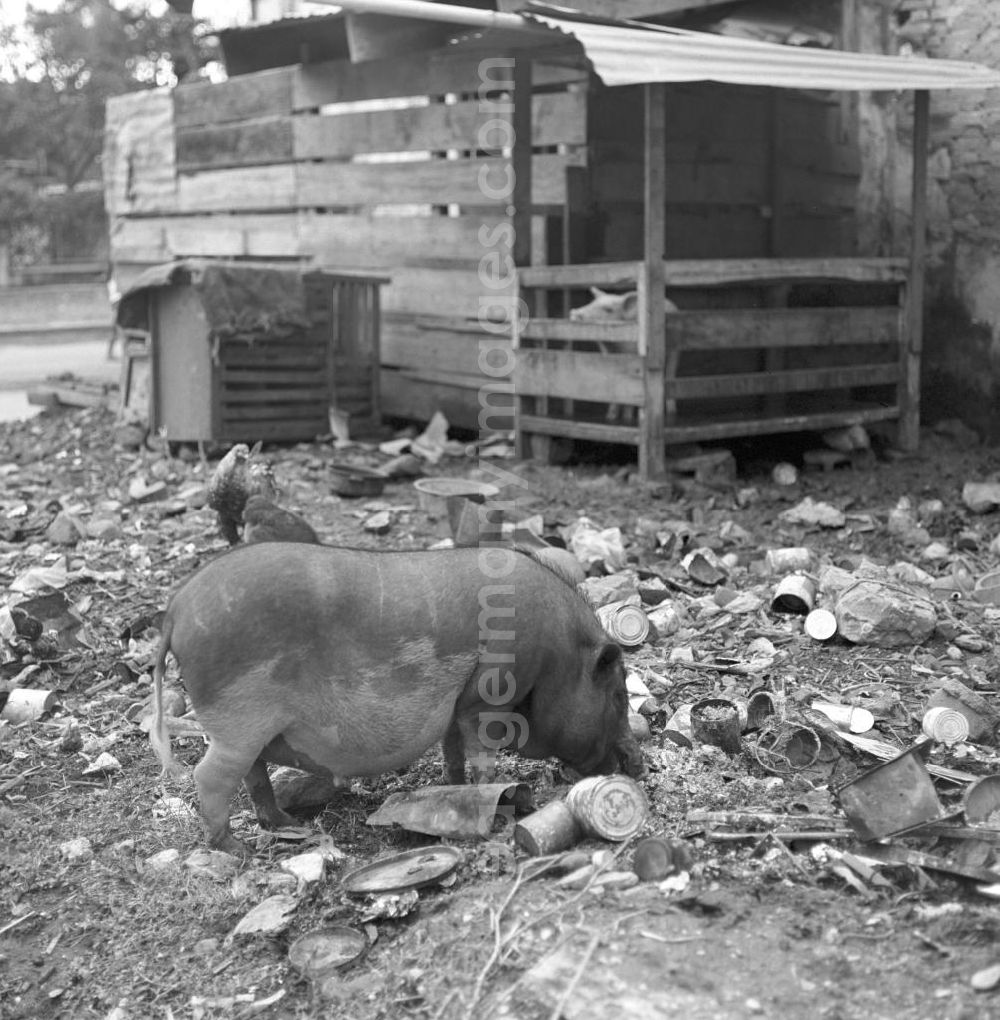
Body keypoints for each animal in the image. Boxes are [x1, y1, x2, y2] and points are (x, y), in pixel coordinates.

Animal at [151, 542, 644, 852]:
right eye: (618, 695)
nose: (637, 765)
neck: (557, 657)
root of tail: (175, 612)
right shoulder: (487, 697)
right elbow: (482, 753)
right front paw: (497, 795)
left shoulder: (457, 704)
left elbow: (453, 750)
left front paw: (453, 785)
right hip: (237, 723)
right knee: (209, 776)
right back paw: (236, 850)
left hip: (246, 732)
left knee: (252, 776)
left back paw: (287, 824)